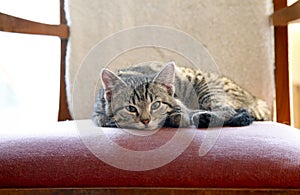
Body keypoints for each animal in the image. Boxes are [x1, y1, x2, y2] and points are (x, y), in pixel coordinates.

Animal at [92, 61, 270, 130]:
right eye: (131, 108)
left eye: (155, 104)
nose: (145, 120)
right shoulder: (98, 114)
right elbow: (103, 119)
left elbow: (180, 113)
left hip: (208, 90)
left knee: (227, 110)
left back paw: (205, 118)